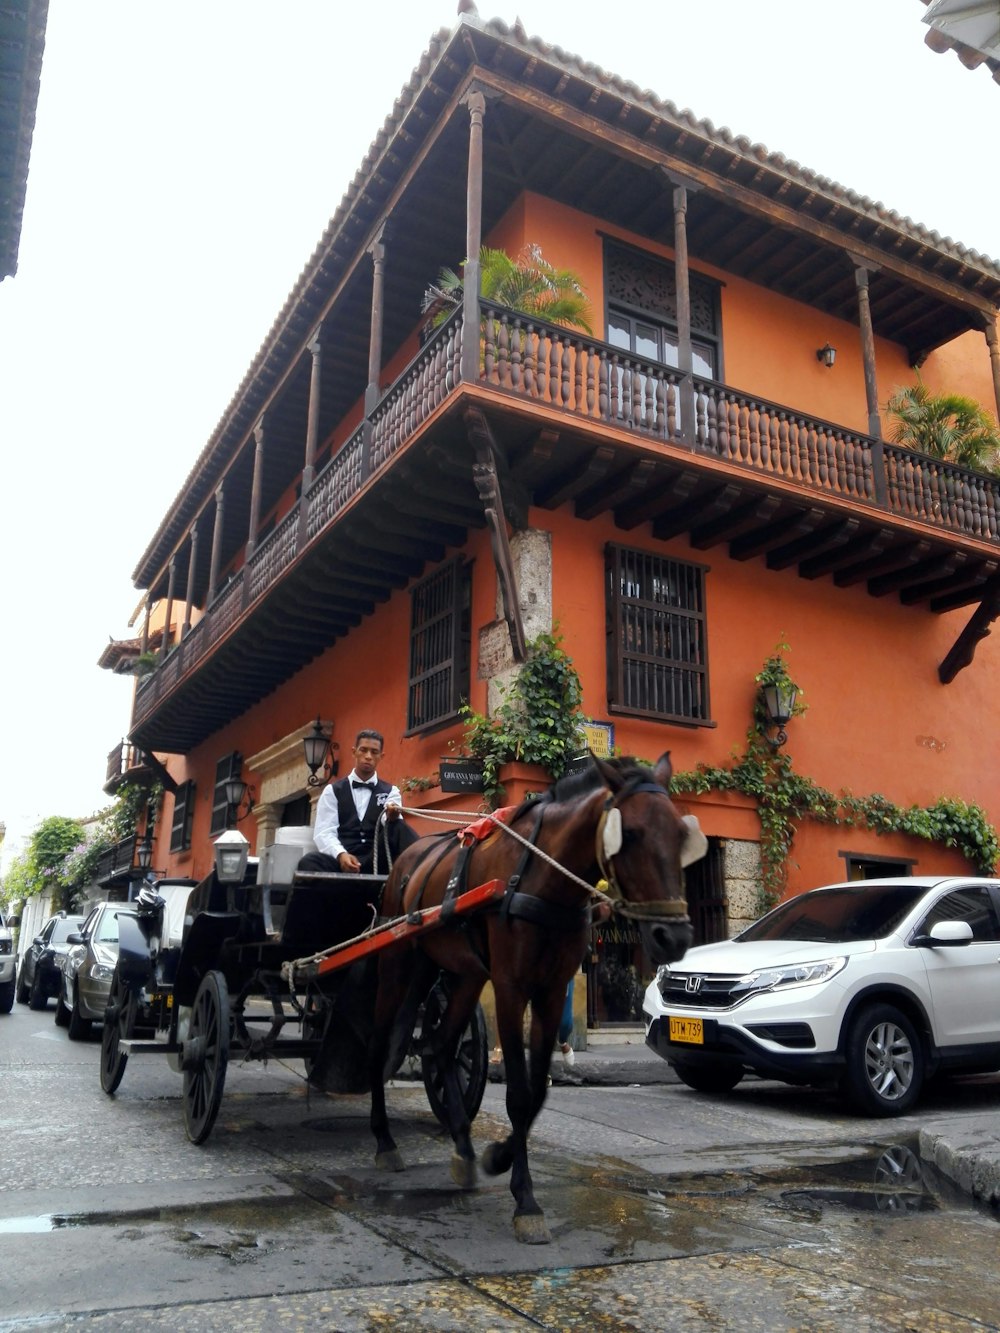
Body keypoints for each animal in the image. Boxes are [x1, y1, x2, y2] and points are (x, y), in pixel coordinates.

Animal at [365, 757, 698, 1242]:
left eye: (679, 834)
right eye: (630, 833)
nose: (674, 937)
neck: (543, 878)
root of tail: (405, 862)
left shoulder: (550, 991)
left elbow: (538, 1091)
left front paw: (498, 1157)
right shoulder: (510, 988)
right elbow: (520, 1095)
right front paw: (525, 1199)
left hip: (461, 973)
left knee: (441, 1046)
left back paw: (463, 1148)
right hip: (398, 965)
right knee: (377, 1044)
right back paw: (385, 1141)